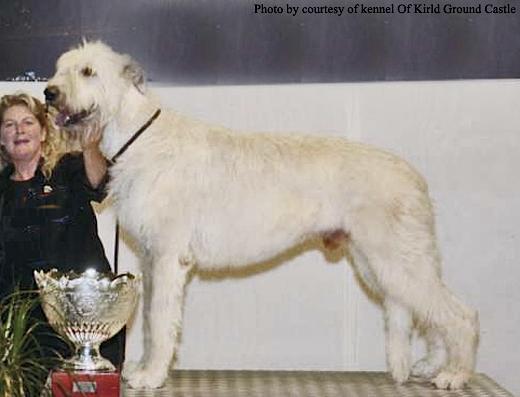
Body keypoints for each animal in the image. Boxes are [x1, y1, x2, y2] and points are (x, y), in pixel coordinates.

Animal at [45, 41, 480, 388]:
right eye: (61, 67)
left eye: (88, 71)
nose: (49, 92)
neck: (139, 135)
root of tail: (413, 176)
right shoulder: (152, 260)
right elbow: (152, 322)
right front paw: (144, 368)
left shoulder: (168, 256)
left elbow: (160, 319)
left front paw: (150, 376)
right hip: (377, 262)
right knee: (426, 310)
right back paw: (430, 365)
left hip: (396, 256)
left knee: (458, 313)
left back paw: (455, 373)